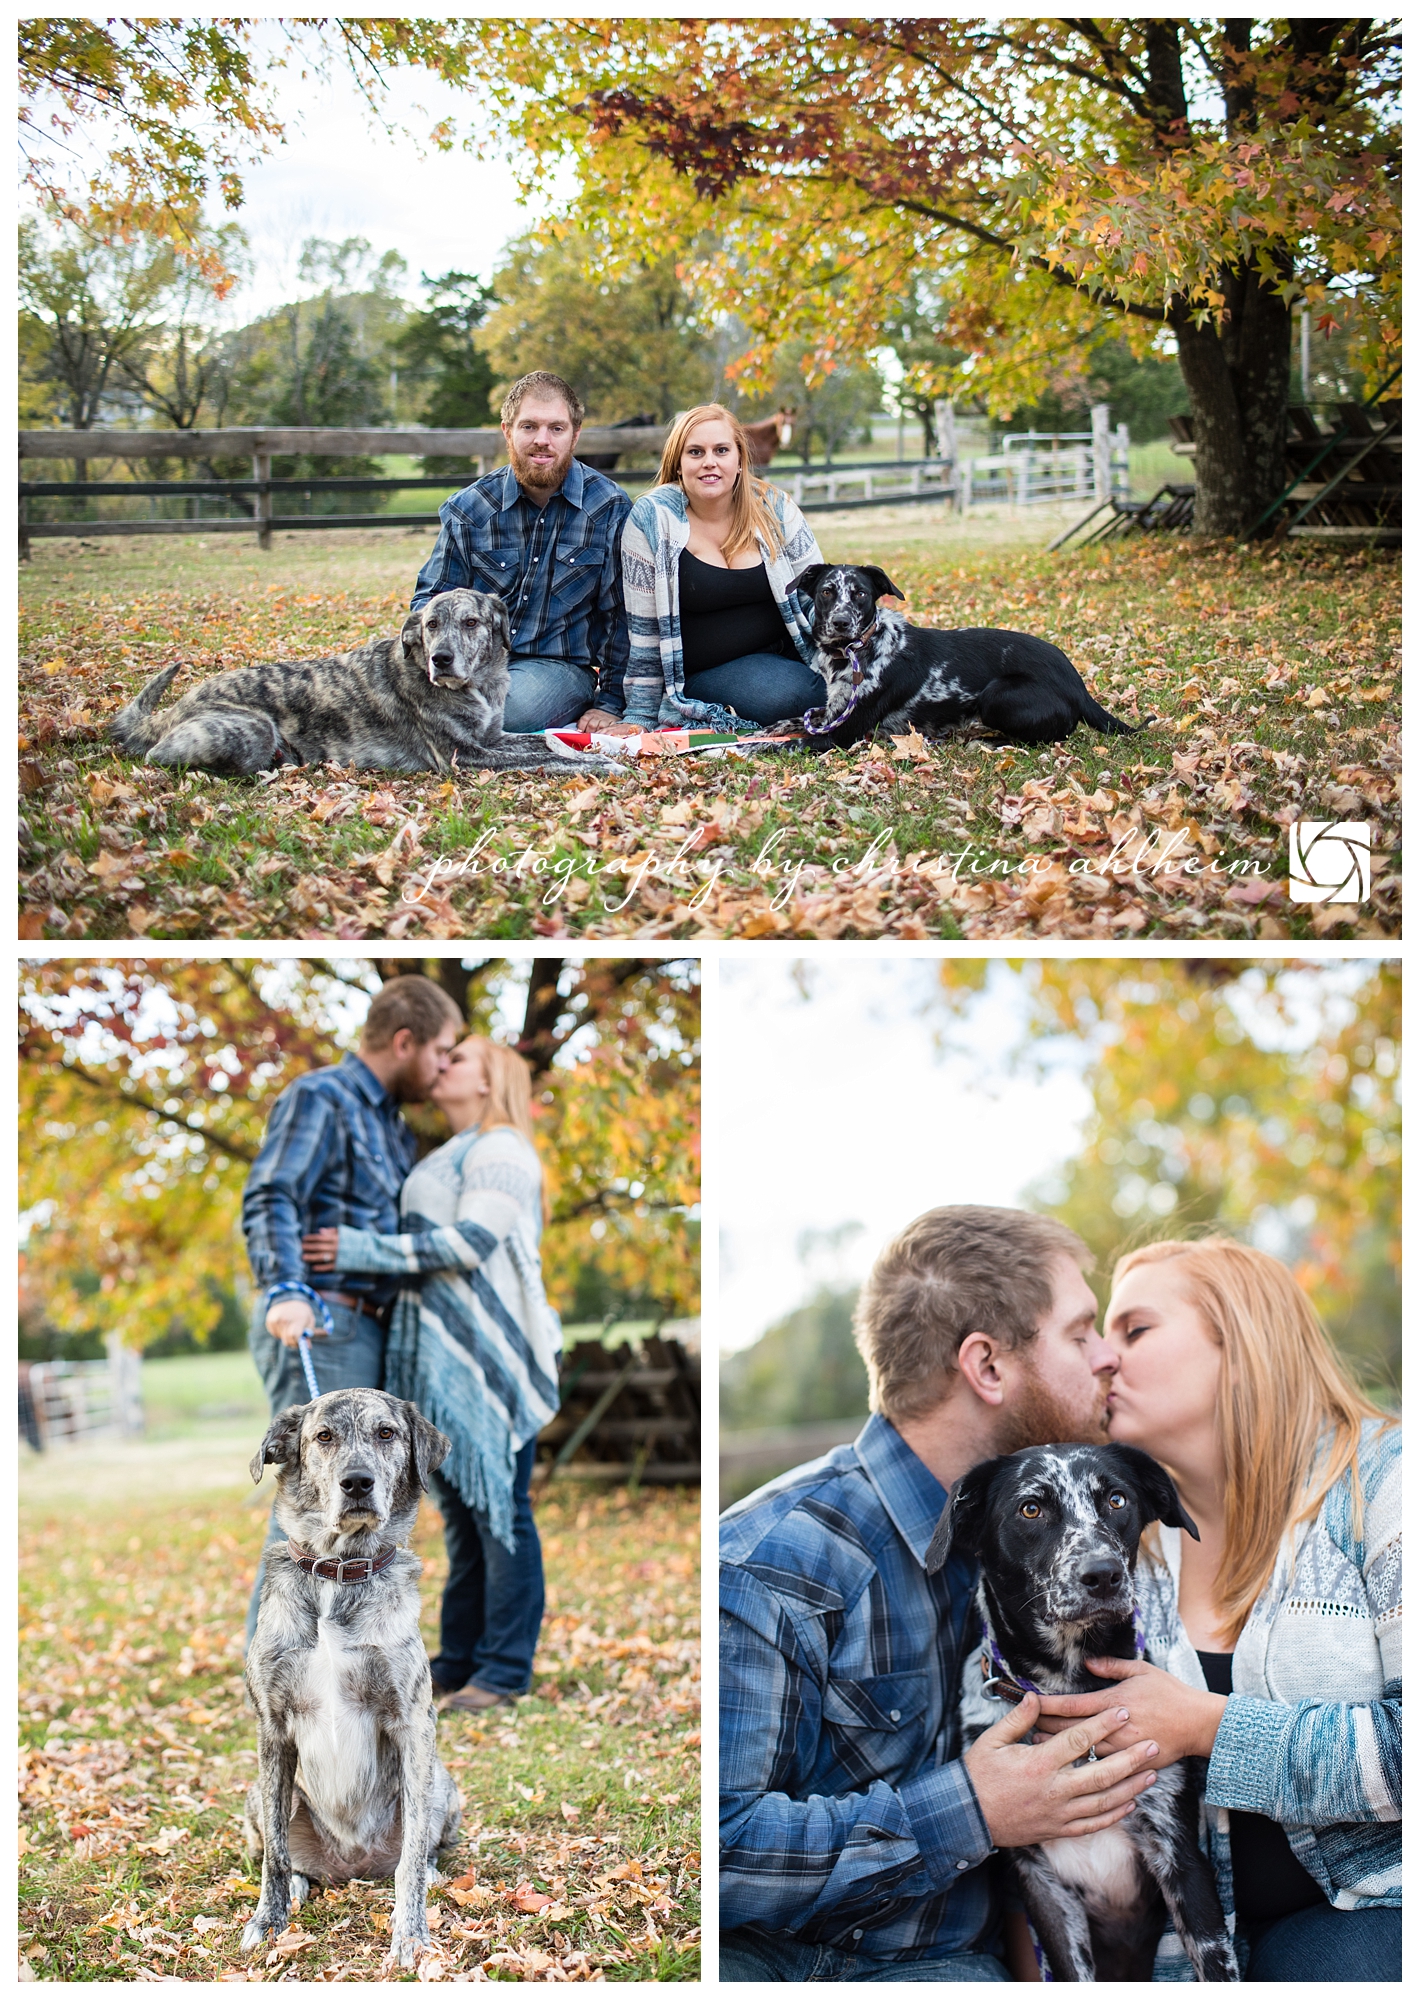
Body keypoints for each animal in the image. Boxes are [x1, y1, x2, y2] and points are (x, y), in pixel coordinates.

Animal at [107, 584, 608, 772]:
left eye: (471, 623)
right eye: (430, 625)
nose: (441, 660)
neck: (477, 686)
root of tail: (175, 708)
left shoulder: (494, 738)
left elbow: (544, 745)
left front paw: (592, 754)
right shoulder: (466, 756)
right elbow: (551, 762)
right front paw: (601, 766)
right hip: (249, 729)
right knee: (157, 757)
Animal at [243, 1392, 462, 1968]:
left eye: (387, 1433)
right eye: (323, 1437)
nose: (357, 1482)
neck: (336, 1572)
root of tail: (351, 1867)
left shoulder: (412, 1723)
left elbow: (412, 1855)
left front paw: (410, 1935)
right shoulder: (273, 1729)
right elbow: (275, 1853)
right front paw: (268, 1920)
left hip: (442, 1784)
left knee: (420, 1849)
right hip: (255, 1794)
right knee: (283, 1849)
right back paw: (300, 1885)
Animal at [928, 1440, 1240, 1984]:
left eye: (1116, 1500)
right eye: (1031, 1508)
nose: (1103, 1574)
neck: (1067, 1689)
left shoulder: (1180, 1854)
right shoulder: (1041, 1884)